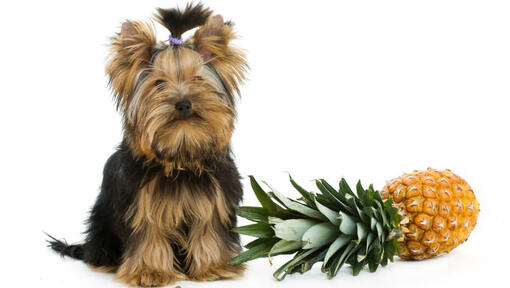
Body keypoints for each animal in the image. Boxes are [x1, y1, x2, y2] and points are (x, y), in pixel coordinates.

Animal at [47, 3, 247, 286]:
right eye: (159, 83)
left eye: (197, 79)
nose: (184, 103)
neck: (180, 154)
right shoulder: (141, 204)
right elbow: (148, 235)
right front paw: (150, 272)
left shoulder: (214, 199)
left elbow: (210, 229)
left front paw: (213, 267)